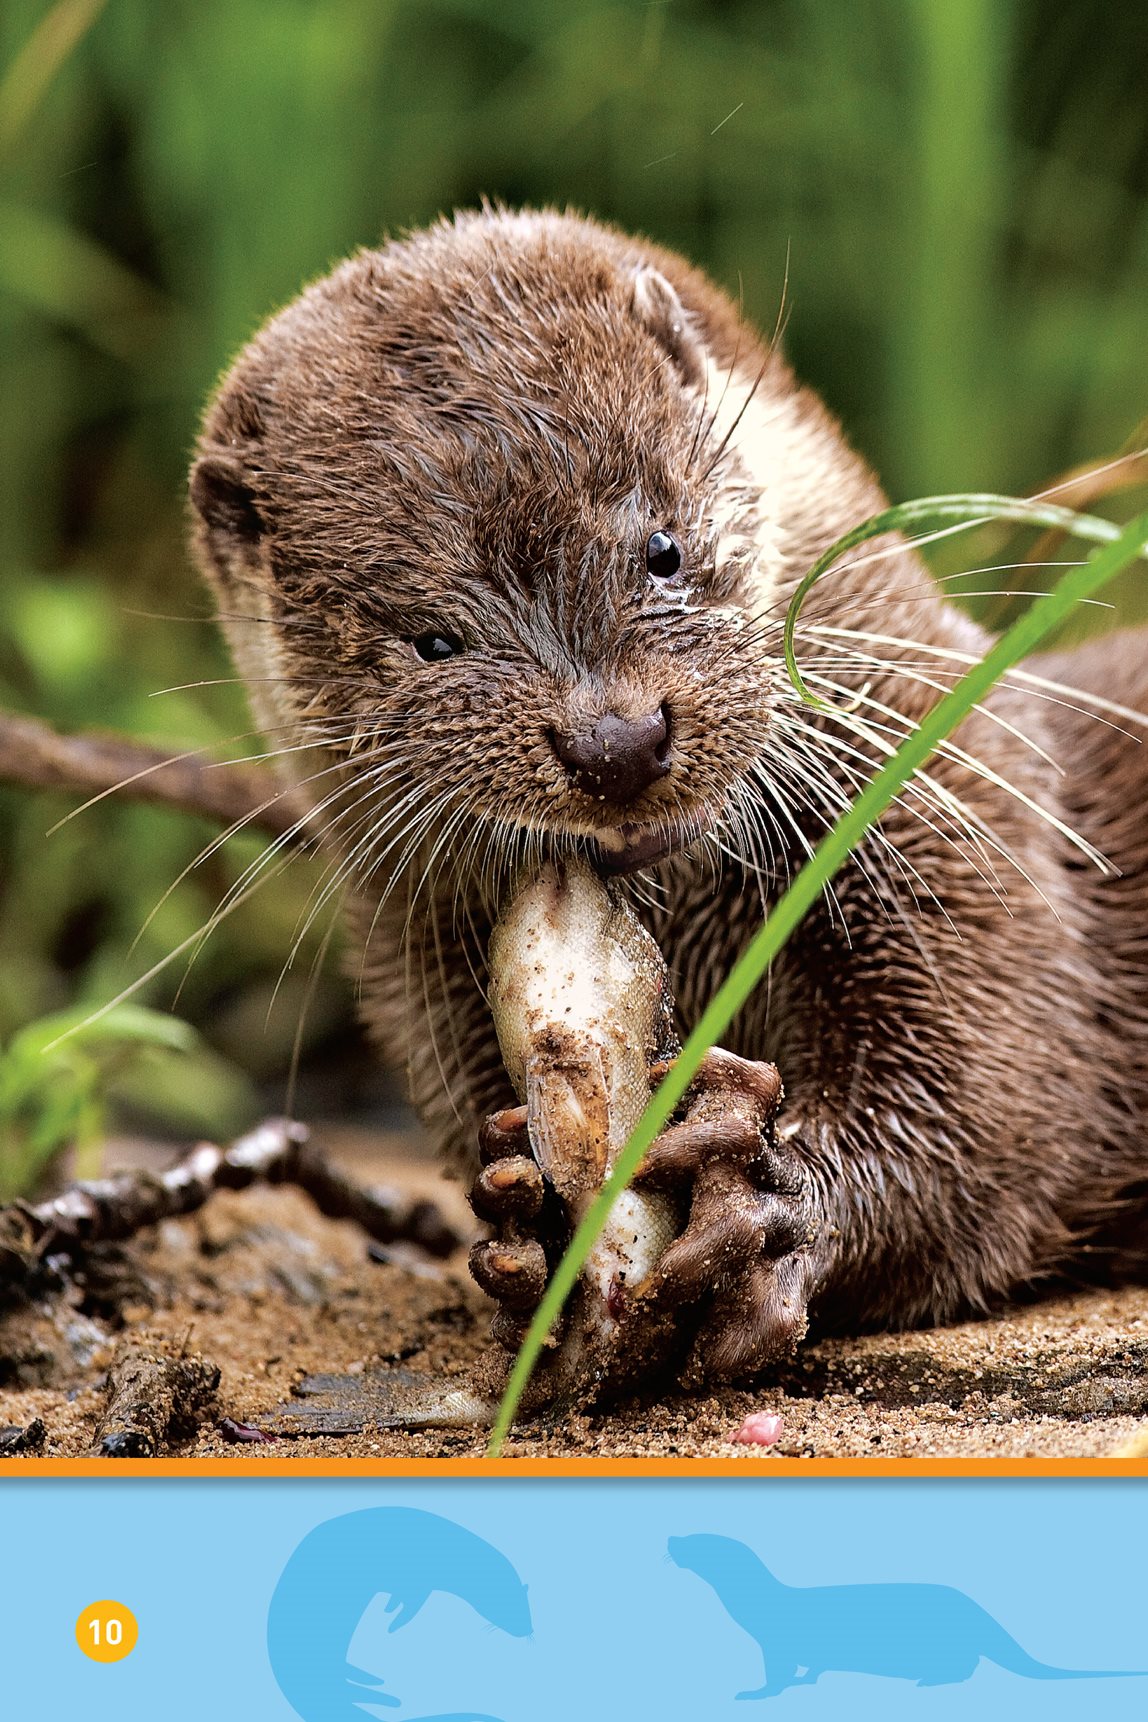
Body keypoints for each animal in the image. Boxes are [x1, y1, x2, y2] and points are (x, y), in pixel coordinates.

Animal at [188, 204, 1148, 1384]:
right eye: (430, 640)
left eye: (661, 547)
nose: (615, 741)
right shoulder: (416, 966)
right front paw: (525, 1224)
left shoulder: (971, 863)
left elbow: (984, 1119)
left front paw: (763, 1203)